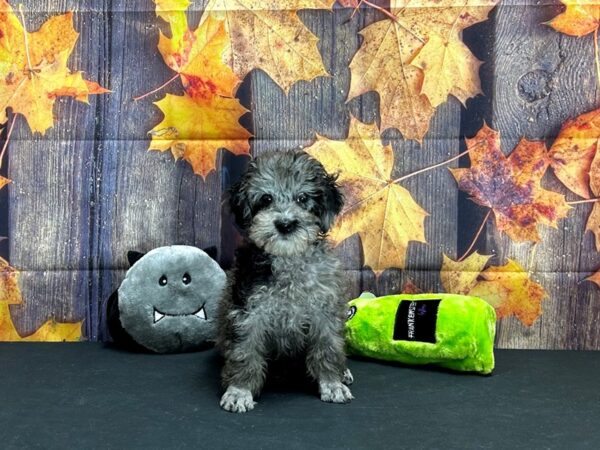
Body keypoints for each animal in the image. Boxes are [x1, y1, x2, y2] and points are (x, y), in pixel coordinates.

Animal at [217, 150, 354, 412]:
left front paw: (331, 383)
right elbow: (244, 352)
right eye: (266, 198)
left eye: (302, 198)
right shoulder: (247, 314)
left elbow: (327, 348)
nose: (286, 224)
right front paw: (239, 391)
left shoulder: (325, 311)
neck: (288, 262)